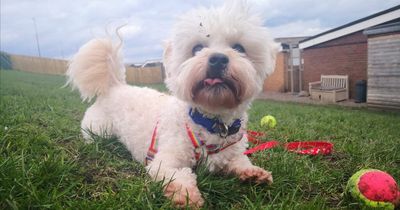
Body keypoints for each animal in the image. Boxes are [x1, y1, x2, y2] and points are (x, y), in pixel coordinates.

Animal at [66, 1, 278, 208]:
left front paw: (253, 173)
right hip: (98, 131)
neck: (209, 122)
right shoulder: (163, 162)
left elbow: (240, 162)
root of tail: (114, 86)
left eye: (239, 48)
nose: (218, 59)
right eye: (197, 48)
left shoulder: (231, 154)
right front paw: (186, 195)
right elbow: (178, 176)